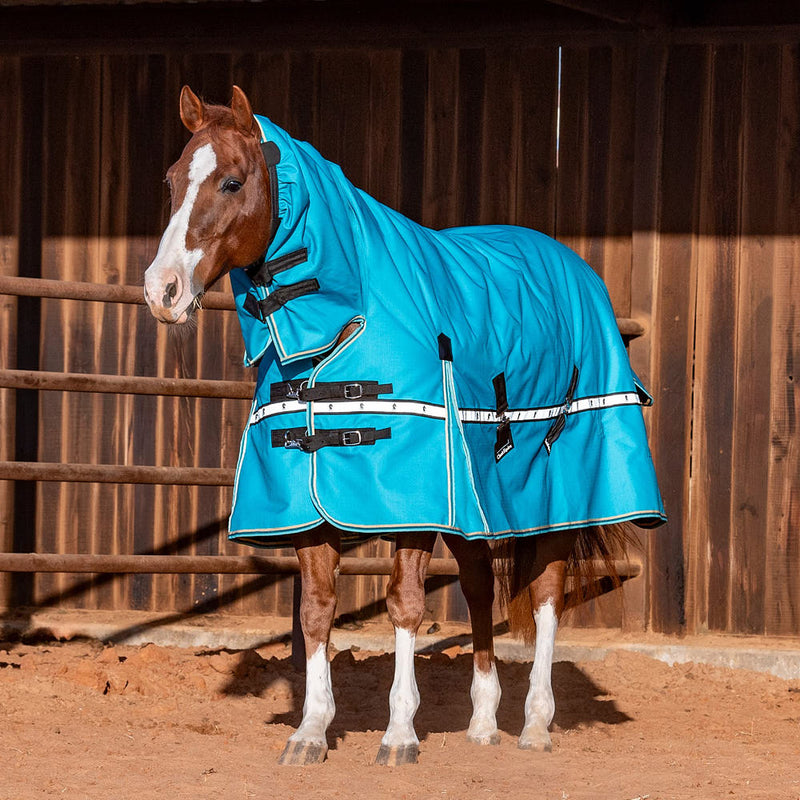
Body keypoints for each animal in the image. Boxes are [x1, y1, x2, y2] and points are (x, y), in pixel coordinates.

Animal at [143, 85, 665, 766]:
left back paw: (535, 725)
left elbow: (406, 606)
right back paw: (482, 723)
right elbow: (317, 611)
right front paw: (310, 732)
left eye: (231, 181)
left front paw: (398, 734)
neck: (341, 325)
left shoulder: (414, 501)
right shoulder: (314, 503)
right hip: (476, 507)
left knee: (548, 594)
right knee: (479, 588)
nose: (161, 291)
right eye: (173, 179)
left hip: (556, 497)